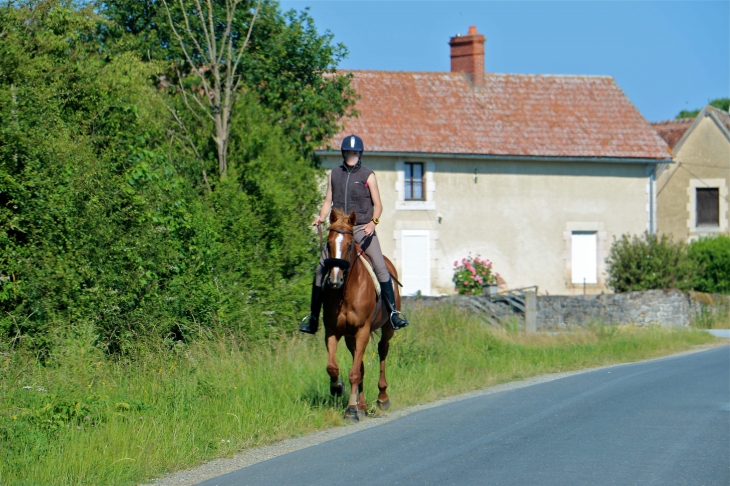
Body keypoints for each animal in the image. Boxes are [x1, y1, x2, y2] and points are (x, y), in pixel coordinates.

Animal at [318, 208, 398, 422]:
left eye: (348, 244)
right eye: (328, 243)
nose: (335, 280)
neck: (346, 292)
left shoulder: (362, 330)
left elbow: (354, 372)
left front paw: (351, 410)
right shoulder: (333, 331)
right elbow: (333, 367)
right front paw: (338, 388)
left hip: (387, 329)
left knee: (382, 351)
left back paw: (382, 397)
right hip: (350, 337)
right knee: (360, 364)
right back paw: (361, 405)